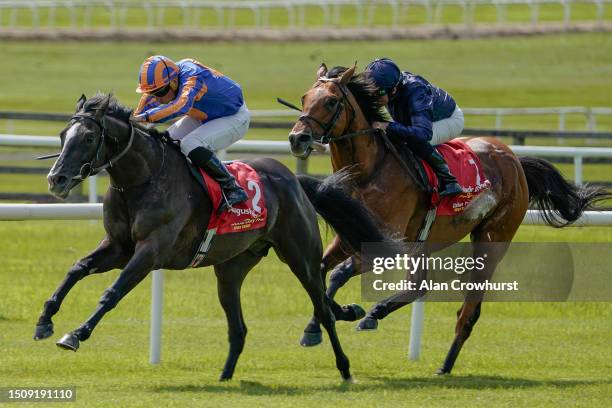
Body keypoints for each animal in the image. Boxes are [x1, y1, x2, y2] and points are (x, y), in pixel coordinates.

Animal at [33, 92, 394, 382]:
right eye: (63, 134)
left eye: (88, 138)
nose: (56, 179)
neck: (142, 180)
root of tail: (293, 180)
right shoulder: (118, 247)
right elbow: (77, 269)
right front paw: (44, 320)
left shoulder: (150, 251)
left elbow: (112, 292)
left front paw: (76, 333)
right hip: (231, 269)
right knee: (240, 328)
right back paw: (226, 375)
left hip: (300, 257)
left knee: (322, 307)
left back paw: (344, 366)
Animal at [286, 64, 608, 376]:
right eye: (304, 97)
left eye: (331, 101)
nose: (297, 138)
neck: (368, 171)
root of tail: (514, 159)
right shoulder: (350, 235)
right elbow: (321, 271)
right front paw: (319, 325)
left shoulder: (384, 244)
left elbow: (338, 273)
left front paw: (343, 313)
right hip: (423, 243)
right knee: (419, 286)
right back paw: (377, 315)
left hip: (492, 240)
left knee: (468, 311)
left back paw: (444, 363)